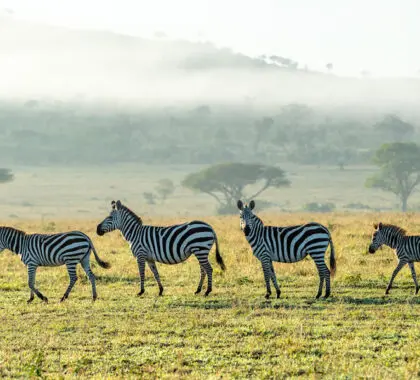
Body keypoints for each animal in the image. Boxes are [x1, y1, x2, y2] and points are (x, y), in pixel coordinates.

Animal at [96, 200, 226, 296]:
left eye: (110, 217)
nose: (97, 230)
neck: (135, 234)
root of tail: (210, 227)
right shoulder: (149, 258)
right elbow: (155, 273)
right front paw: (160, 290)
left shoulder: (140, 255)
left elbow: (141, 273)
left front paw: (141, 291)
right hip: (200, 251)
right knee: (203, 270)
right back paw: (198, 290)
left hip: (200, 250)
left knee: (209, 269)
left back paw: (207, 291)